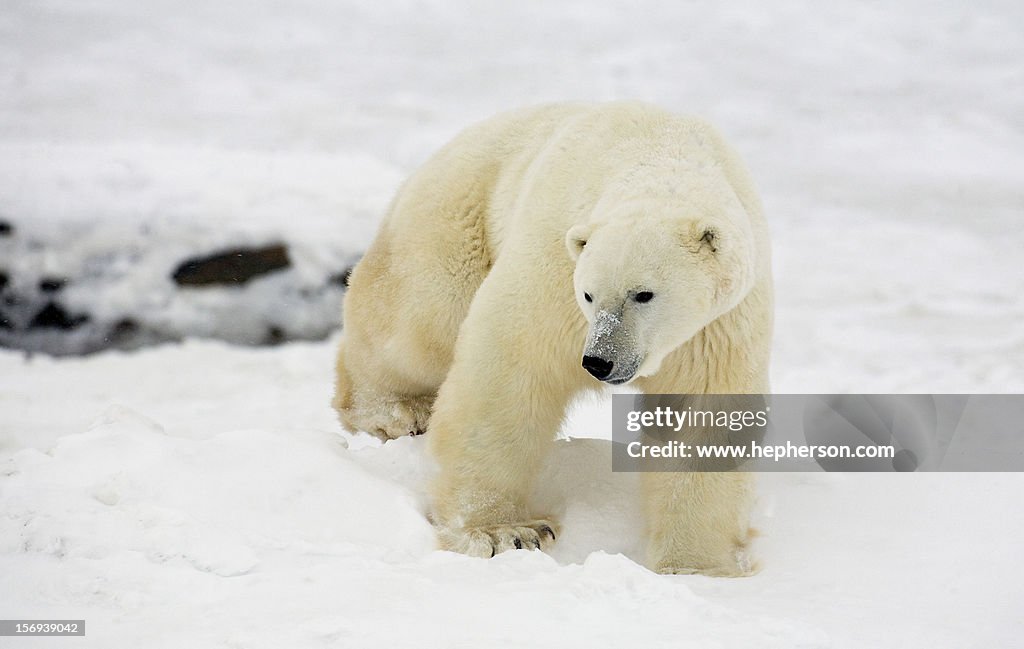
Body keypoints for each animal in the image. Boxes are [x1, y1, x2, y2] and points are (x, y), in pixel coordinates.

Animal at [331, 99, 770, 569]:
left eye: (643, 294)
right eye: (589, 294)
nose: (599, 361)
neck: (661, 159)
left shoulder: (719, 326)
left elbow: (705, 416)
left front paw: (696, 565)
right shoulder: (556, 272)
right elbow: (510, 370)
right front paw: (503, 533)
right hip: (456, 220)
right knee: (417, 325)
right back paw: (394, 411)